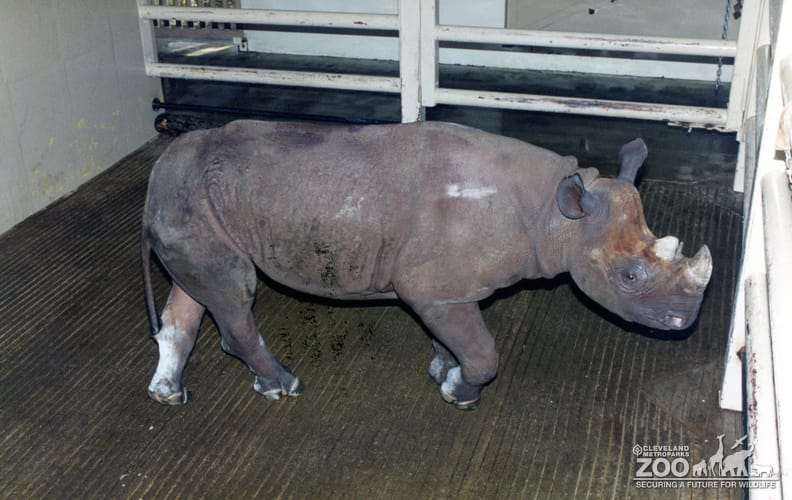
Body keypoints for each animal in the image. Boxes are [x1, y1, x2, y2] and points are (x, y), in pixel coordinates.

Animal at [141, 120, 712, 410]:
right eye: (630, 277)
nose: (684, 320)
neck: (558, 216)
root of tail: (156, 174)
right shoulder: (433, 288)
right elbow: (483, 353)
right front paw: (461, 393)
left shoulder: (442, 290)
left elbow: (449, 339)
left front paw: (442, 368)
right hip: (193, 198)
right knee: (234, 292)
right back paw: (283, 386)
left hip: (193, 201)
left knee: (198, 292)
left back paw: (169, 395)